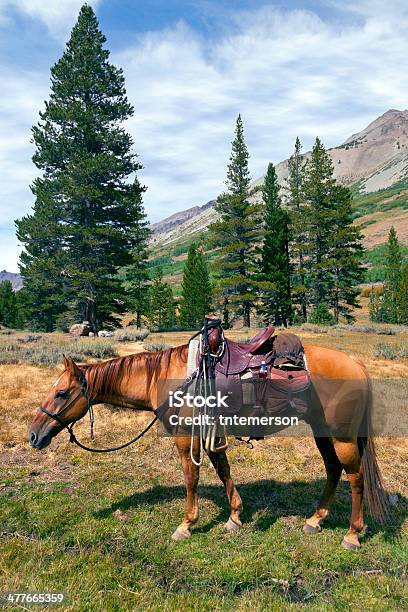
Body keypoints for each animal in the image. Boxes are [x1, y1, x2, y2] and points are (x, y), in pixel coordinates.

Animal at [27, 344, 390, 548]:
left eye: (61, 393)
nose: (33, 435)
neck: (170, 378)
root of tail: (357, 365)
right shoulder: (210, 434)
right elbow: (223, 470)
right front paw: (234, 517)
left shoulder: (185, 437)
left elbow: (192, 479)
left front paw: (186, 525)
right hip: (322, 433)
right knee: (333, 470)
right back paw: (315, 519)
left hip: (342, 438)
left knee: (355, 479)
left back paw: (353, 534)